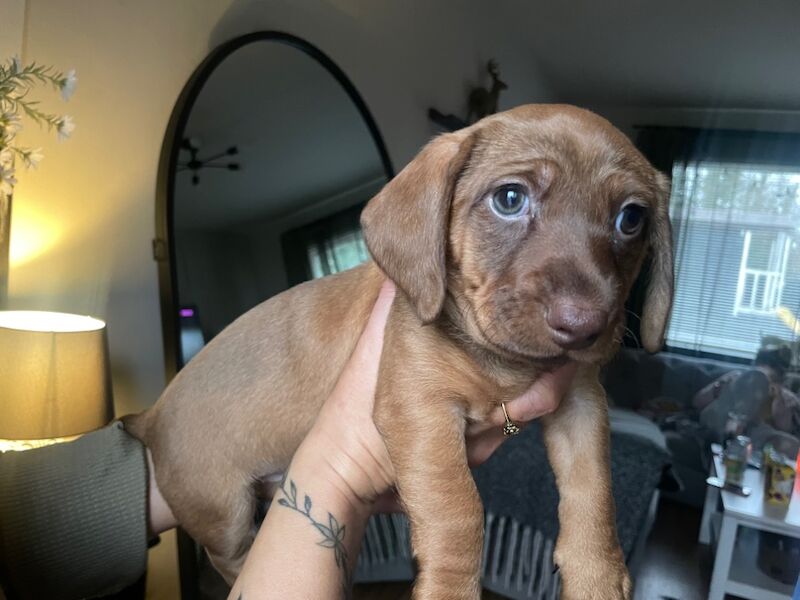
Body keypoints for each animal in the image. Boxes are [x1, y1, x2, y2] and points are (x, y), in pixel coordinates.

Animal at [126, 105, 676, 596]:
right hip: (225, 517)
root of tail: (152, 416)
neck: (503, 362)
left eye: (631, 218)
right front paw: (450, 589)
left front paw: (597, 576)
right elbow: (459, 511)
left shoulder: (581, 405)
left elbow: (593, 493)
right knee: (233, 557)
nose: (584, 327)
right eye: (510, 198)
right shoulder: (419, 409)